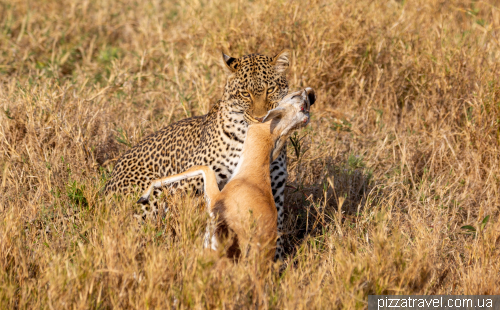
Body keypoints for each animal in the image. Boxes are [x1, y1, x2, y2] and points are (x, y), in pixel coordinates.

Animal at [103, 50, 312, 260]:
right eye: (245, 94)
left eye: (271, 89)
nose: (261, 118)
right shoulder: (188, 187)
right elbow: (184, 219)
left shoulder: (274, 189)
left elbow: (275, 230)